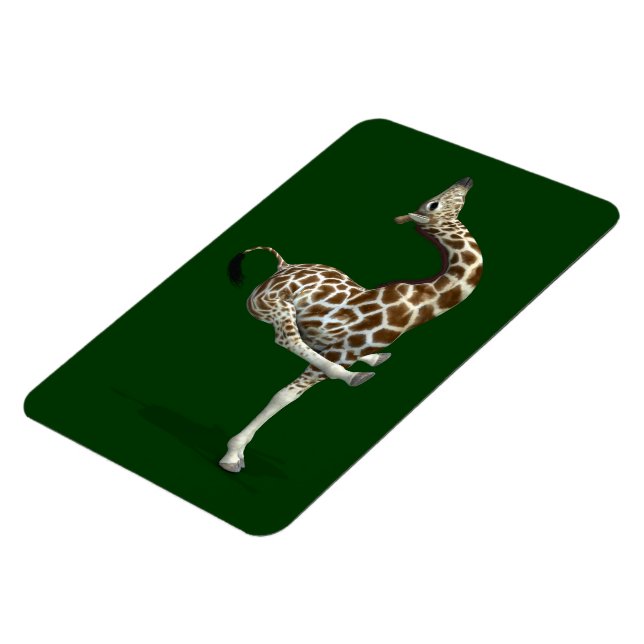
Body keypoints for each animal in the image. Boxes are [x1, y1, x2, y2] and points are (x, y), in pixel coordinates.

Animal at [219, 177, 483, 472]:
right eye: (433, 204)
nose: (465, 181)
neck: (411, 308)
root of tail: (282, 266)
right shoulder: (341, 350)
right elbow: (284, 395)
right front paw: (232, 457)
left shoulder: (342, 349)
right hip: (273, 306)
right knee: (288, 339)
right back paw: (354, 374)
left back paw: (374, 359)